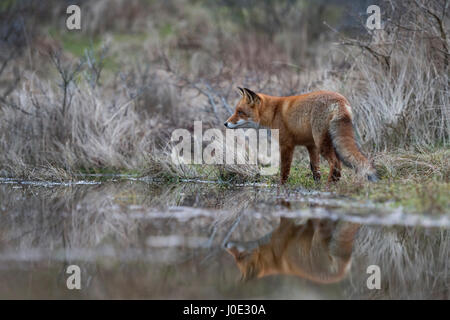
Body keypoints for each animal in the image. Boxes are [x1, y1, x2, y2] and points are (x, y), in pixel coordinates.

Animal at [223, 87, 378, 184]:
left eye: (240, 112)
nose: (225, 123)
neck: (274, 113)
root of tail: (340, 100)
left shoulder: (286, 145)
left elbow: (284, 171)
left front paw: (281, 186)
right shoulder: (310, 145)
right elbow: (315, 170)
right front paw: (316, 186)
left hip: (322, 143)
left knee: (336, 164)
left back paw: (329, 187)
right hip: (322, 143)